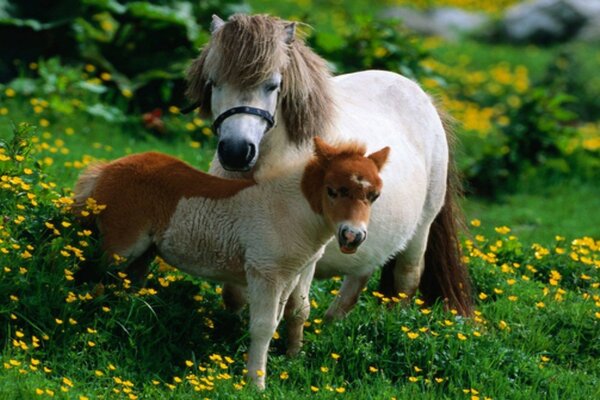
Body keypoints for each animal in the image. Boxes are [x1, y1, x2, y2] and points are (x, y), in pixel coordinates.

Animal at [72, 137, 390, 388]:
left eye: (374, 196)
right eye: (332, 190)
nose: (352, 237)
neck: (289, 211)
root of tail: (107, 168)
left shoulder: (288, 276)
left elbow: (282, 318)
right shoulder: (264, 273)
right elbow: (262, 326)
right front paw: (256, 384)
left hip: (144, 253)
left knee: (127, 286)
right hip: (121, 246)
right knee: (91, 278)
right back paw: (86, 331)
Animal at [185, 14, 472, 318]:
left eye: (272, 85)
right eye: (213, 83)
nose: (236, 152)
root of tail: (425, 98)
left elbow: (294, 306)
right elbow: (234, 295)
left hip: (421, 229)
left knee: (406, 279)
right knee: (358, 278)